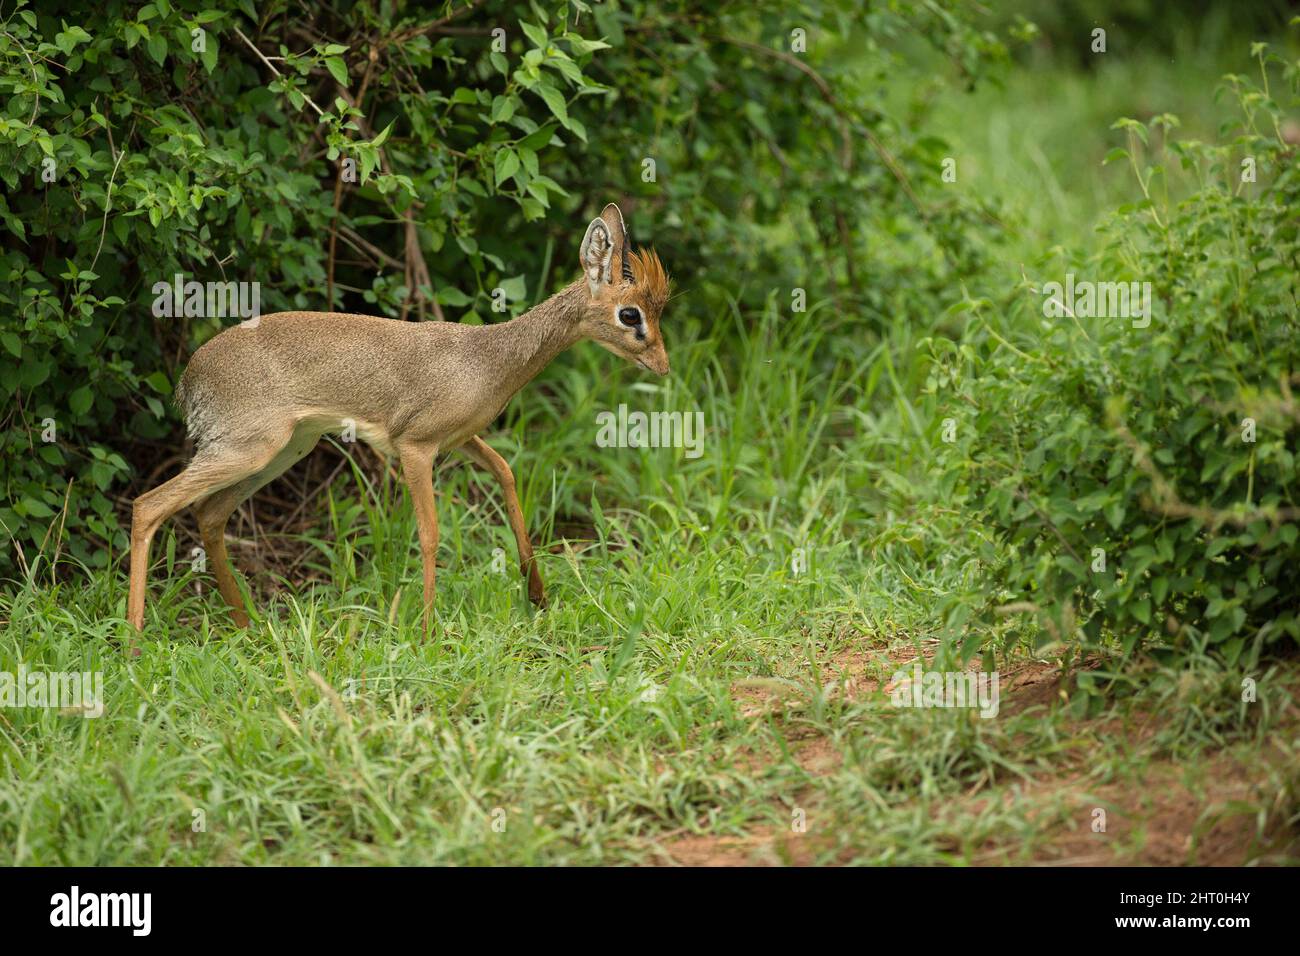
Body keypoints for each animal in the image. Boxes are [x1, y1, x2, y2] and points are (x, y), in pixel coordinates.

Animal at [128, 204, 670, 647]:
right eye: (630, 314)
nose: (663, 366)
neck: (485, 360)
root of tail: (188, 378)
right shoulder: (414, 446)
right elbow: (429, 533)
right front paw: (428, 631)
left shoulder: (460, 439)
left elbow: (505, 471)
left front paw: (537, 594)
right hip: (247, 449)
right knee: (147, 505)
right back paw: (134, 643)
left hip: (283, 450)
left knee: (209, 514)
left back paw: (245, 626)